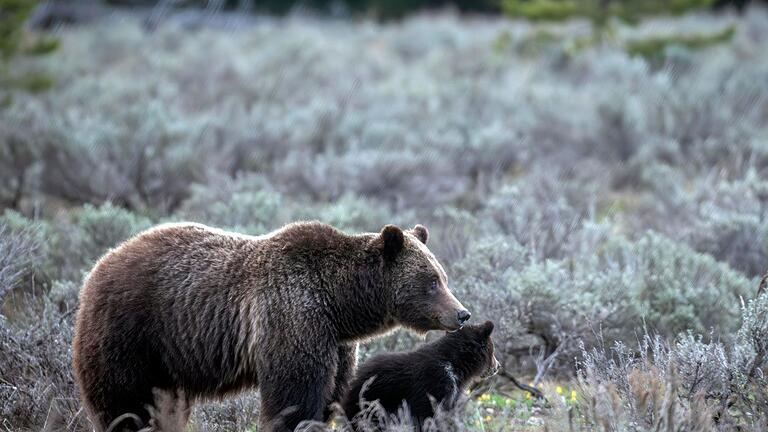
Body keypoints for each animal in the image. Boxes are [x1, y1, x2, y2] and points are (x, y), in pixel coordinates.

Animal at [72, 221, 468, 430]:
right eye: (432, 281)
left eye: (443, 276)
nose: (461, 313)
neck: (339, 303)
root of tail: (99, 264)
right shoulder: (293, 316)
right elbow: (294, 394)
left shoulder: (336, 342)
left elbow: (331, 394)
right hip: (132, 332)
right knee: (125, 403)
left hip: (167, 361)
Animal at [340, 318, 498, 426]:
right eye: (492, 349)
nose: (497, 366)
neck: (456, 366)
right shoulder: (434, 383)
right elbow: (428, 413)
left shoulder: (452, 393)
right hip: (373, 400)